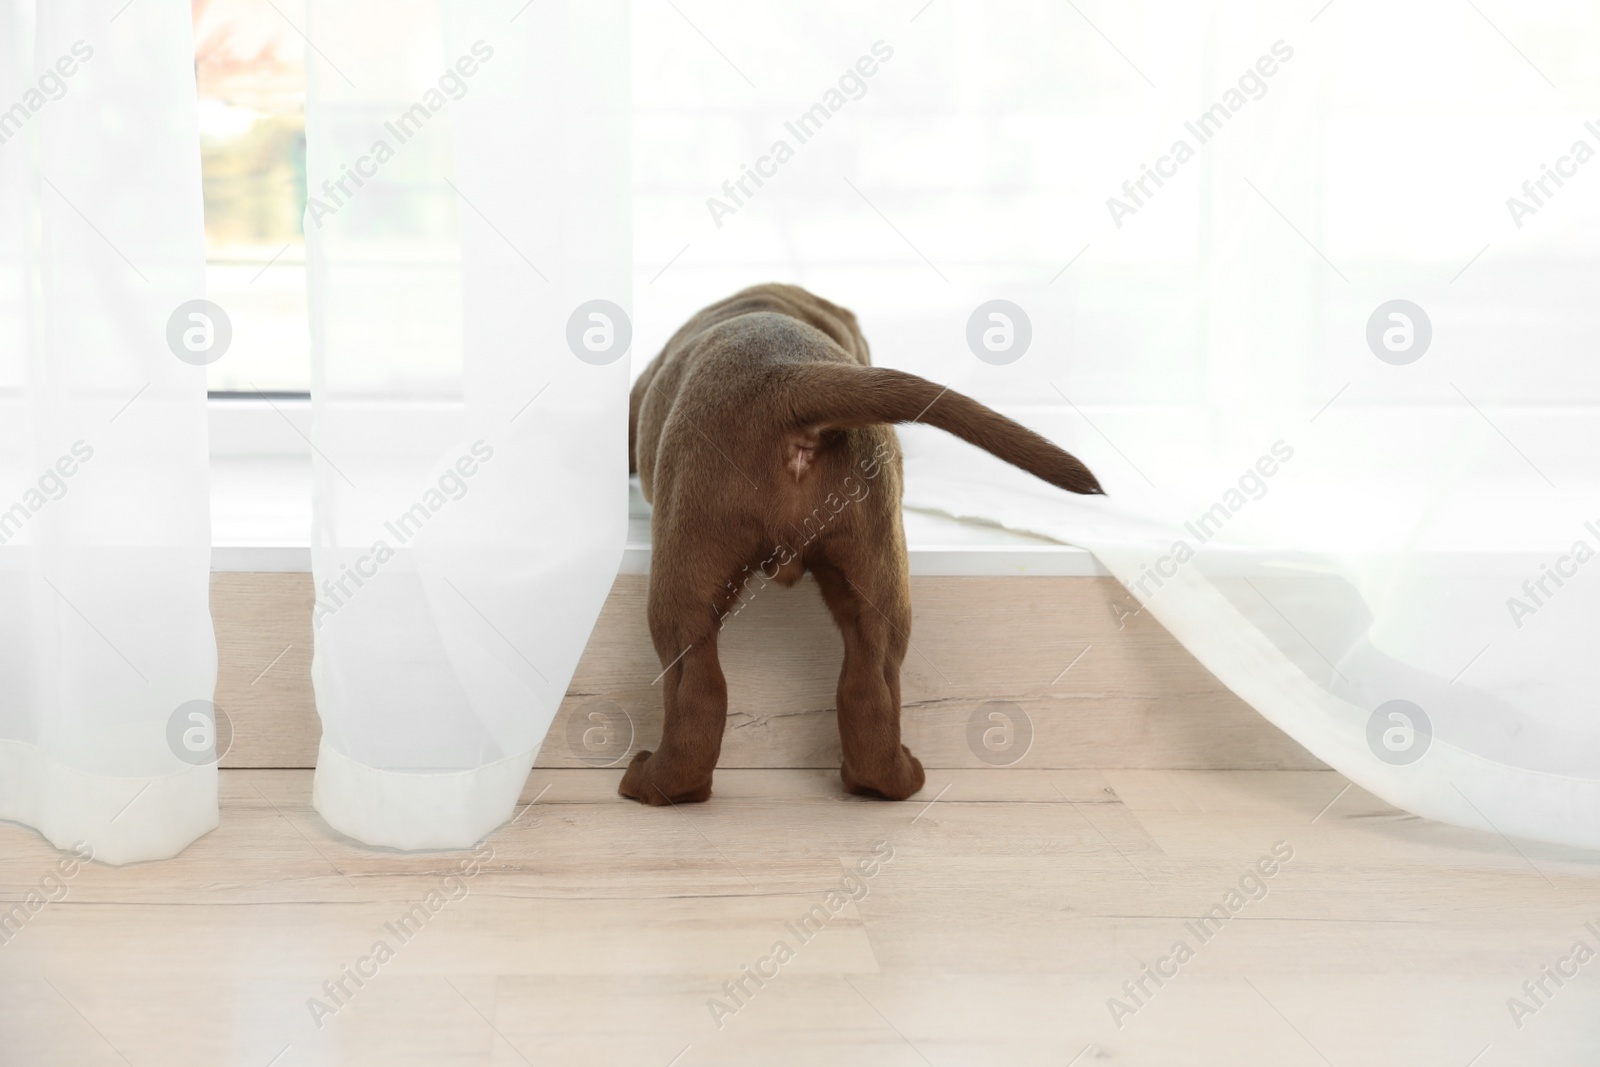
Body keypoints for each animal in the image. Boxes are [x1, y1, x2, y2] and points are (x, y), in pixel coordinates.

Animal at [617, 287, 1107, 806]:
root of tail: (787, 379)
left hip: (684, 573)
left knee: (698, 691)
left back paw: (652, 783)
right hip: (877, 574)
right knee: (868, 688)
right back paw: (888, 778)